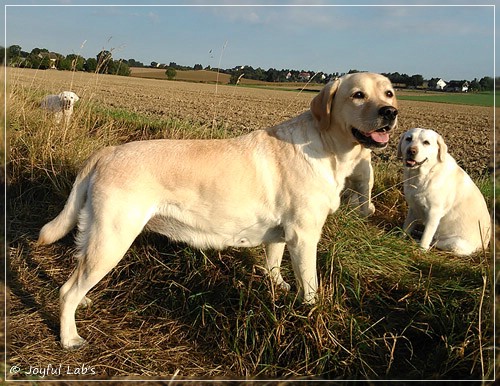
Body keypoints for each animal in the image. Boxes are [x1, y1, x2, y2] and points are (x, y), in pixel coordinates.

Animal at [400, 127, 490, 256]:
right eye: (409, 139)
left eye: (426, 142)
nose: (411, 151)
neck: (425, 174)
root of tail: (484, 247)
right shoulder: (413, 207)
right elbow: (407, 226)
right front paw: (399, 238)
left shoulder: (434, 213)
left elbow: (426, 237)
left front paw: (421, 250)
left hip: (456, 244)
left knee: (435, 242)